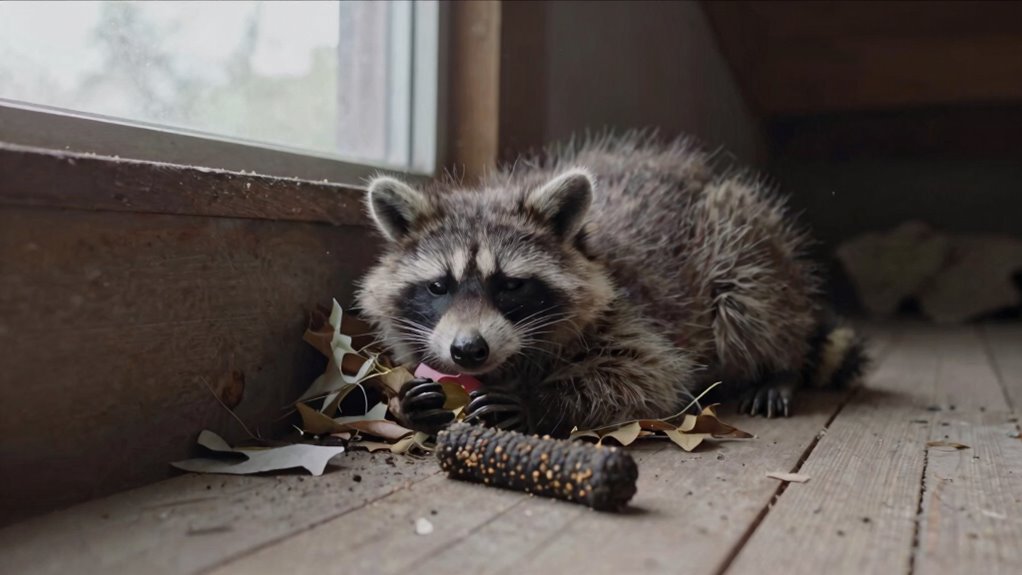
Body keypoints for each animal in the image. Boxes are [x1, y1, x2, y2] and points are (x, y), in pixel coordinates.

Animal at [356, 136, 866, 437]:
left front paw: (540, 401)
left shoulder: (629, 311)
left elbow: (649, 374)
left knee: (749, 295)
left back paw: (778, 368)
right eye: (438, 287)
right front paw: (405, 402)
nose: (468, 350)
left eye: (512, 286)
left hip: (741, 231)